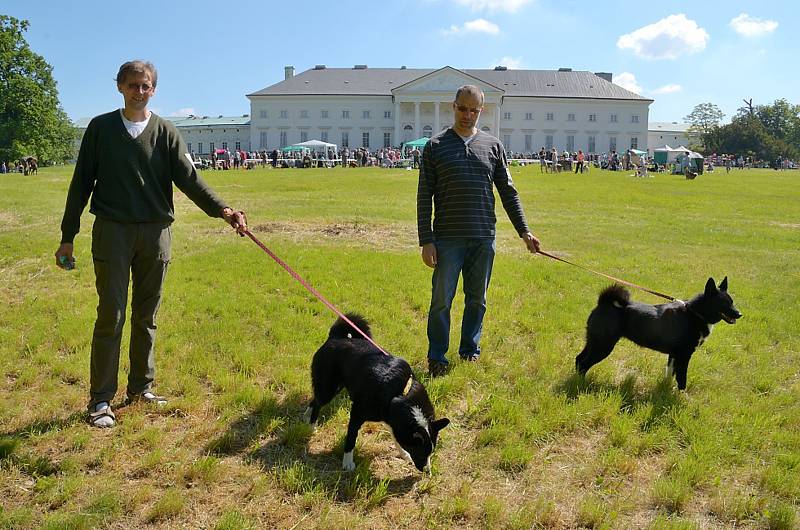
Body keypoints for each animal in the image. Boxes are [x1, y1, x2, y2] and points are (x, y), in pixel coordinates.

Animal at [304, 312, 446, 468]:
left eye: (431, 453)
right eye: (421, 453)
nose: (427, 470)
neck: (399, 393)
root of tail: (335, 337)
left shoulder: (389, 416)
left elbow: (395, 436)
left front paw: (403, 453)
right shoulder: (357, 414)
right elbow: (351, 438)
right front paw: (347, 462)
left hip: (334, 386)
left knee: (315, 399)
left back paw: (306, 417)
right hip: (328, 388)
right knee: (318, 403)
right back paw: (311, 426)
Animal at [576, 276, 744, 388]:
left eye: (732, 302)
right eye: (724, 303)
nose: (740, 314)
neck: (696, 313)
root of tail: (604, 302)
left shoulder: (674, 354)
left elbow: (670, 373)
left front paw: (665, 389)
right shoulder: (685, 355)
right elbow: (682, 378)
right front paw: (681, 396)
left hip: (593, 343)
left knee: (579, 359)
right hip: (603, 346)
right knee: (584, 364)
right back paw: (581, 385)